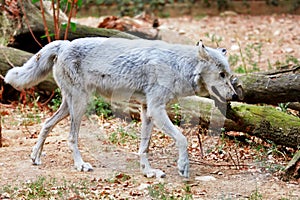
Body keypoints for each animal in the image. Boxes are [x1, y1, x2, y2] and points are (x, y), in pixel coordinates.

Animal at [4, 37, 239, 178]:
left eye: (228, 75)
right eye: (221, 75)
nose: (235, 95)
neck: (178, 67)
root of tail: (64, 44)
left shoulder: (147, 111)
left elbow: (144, 146)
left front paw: (148, 172)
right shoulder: (157, 109)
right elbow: (182, 138)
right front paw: (183, 166)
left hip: (69, 106)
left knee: (46, 124)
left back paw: (35, 157)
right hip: (79, 105)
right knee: (71, 137)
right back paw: (80, 165)